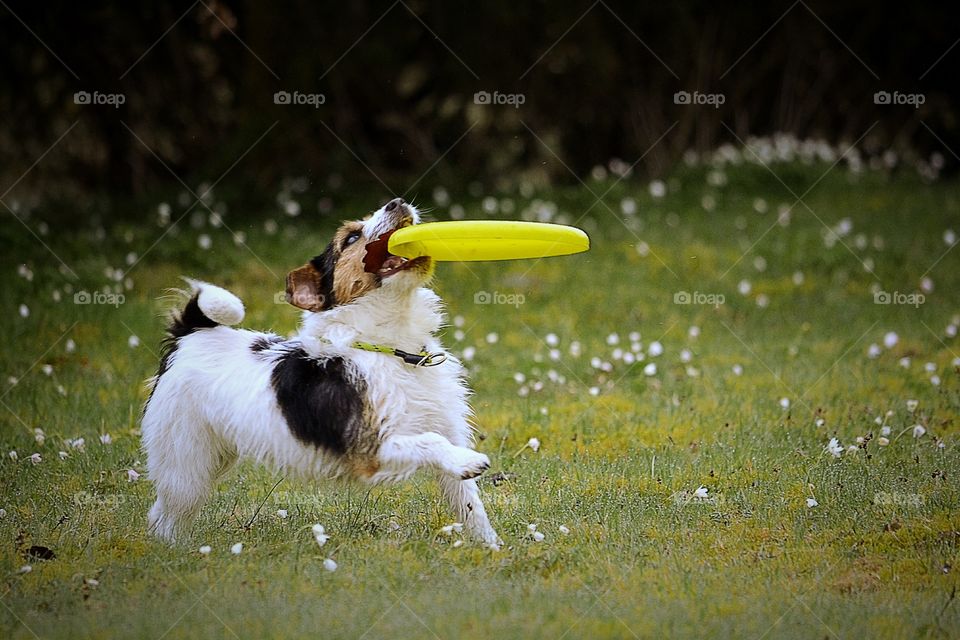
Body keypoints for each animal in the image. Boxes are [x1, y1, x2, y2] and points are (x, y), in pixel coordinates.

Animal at [144, 199, 502, 544]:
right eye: (352, 238)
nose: (397, 202)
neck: (392, 349)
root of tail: (189, 334)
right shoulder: (370, 450)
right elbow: (429, 442)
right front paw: (470, 461)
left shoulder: (448, 430)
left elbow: (470, 504)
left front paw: (491, 548)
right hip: (186, 461)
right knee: (166, 514)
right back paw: (172, 551)